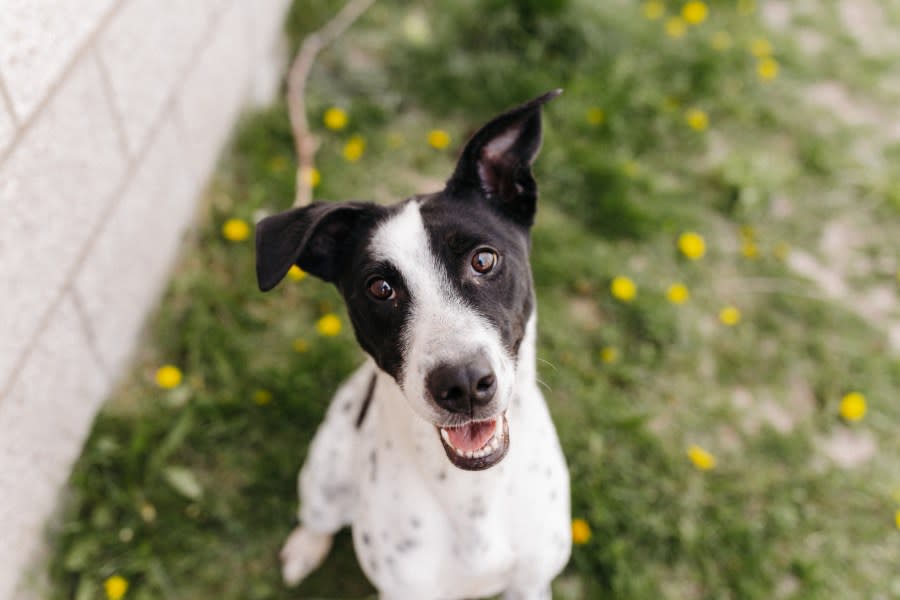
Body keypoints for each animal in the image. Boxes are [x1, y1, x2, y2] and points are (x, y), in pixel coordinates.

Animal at [255, 90, 568, 600]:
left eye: (484, 260)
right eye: (380, 288)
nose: (462, 384)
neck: (472, 491)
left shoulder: (531, 583)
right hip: (323, 472)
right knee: (318, 517)